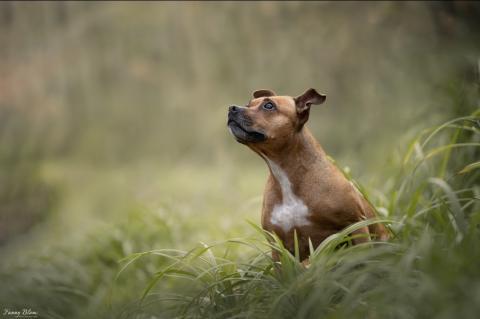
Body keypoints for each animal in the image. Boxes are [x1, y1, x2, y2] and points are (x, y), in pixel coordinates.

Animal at [227, 89, 388, 262]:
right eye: (248, 104)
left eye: (268, 106)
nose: (232, 108)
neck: (286, 174)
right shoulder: (278, 247)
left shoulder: (356, 225)